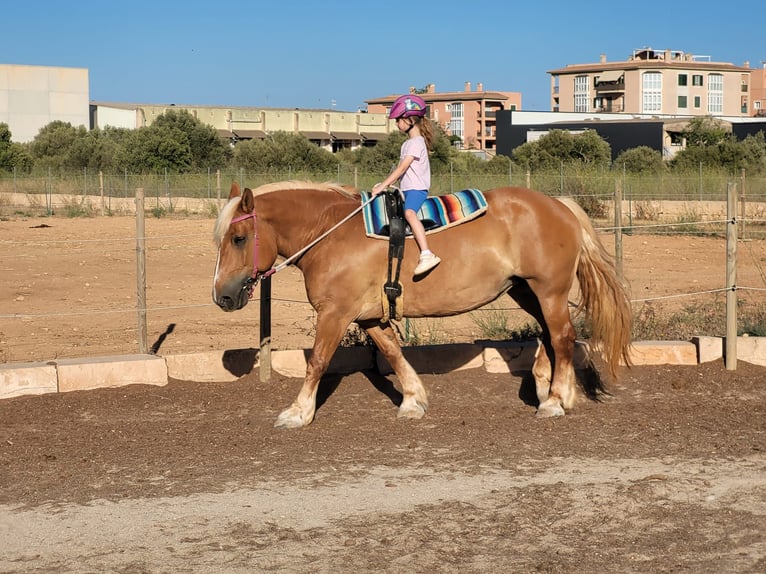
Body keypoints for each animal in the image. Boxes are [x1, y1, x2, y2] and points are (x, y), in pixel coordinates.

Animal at [213, 182, 632, 430]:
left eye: (238, 238)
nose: (222, 296)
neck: (329, 233)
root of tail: (560, 206)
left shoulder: (335, 313)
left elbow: (317, 361)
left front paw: (298, 412)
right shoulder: (368, 317)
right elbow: (393, 353)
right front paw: (414, 400)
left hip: (549, 291)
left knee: (562, 337)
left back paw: (557, 401)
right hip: (526, 291)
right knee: (549, 335)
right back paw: (548, 390)